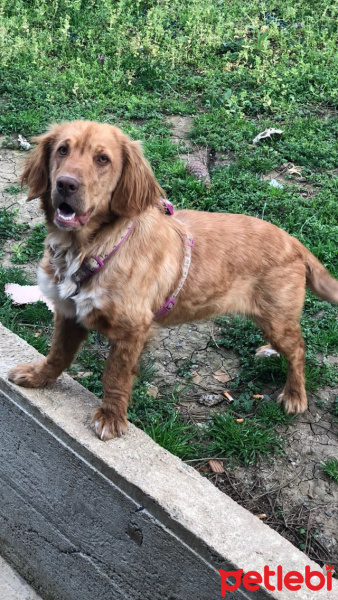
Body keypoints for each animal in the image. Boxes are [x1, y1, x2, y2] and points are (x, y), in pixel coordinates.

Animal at [7, 120, 338, 440]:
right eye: (62, 150)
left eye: (103, 159)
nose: (65, 184)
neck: (90, 248)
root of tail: (294, 242)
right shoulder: (68, 312)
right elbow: (58, 354)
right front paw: (39, 378)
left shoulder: (132, 330)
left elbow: (114, 375)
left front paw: (112, 418)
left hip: (277, 319)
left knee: (298, 349)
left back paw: (295, 395)